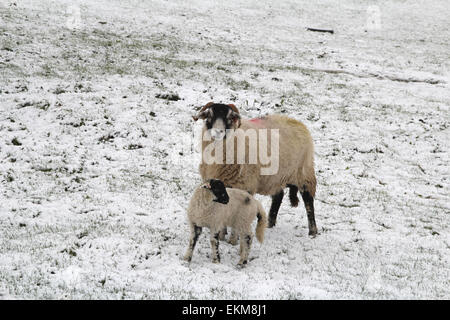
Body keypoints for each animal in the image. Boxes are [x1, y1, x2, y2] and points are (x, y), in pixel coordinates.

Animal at [192, 102, 316, 238]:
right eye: (209, 115)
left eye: (230, 117)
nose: (217, 132)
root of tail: (299, 123)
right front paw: (222, 234)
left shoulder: (245, 185)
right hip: (276, 177)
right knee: (278, 196)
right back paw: (270, 224)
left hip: (304, 173)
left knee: (308, 200)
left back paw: (313, 231)